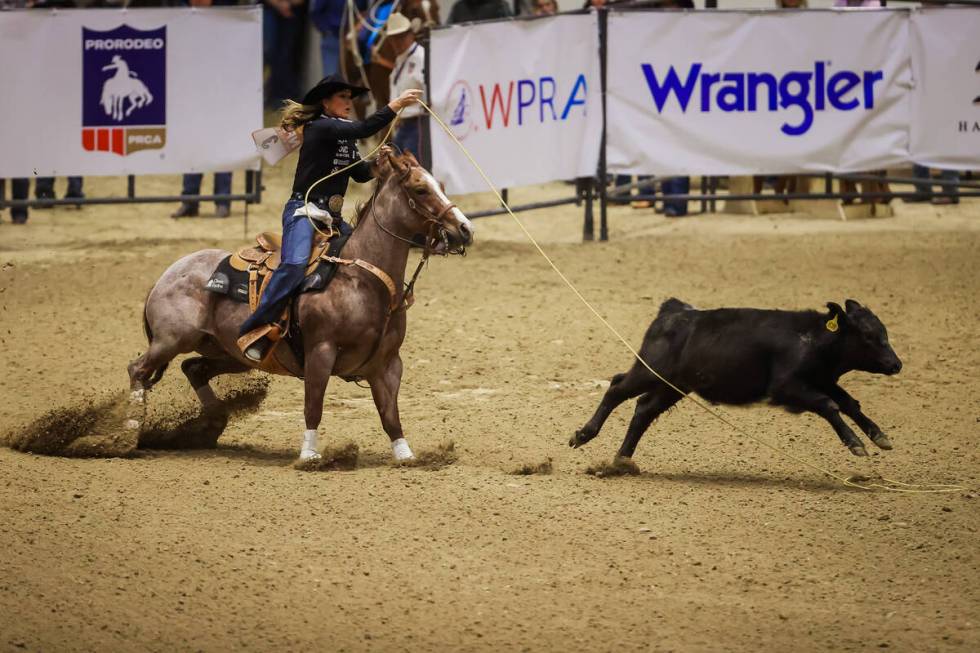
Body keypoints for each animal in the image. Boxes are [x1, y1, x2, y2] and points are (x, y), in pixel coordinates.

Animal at [122, 149, 474, 458]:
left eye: (441, 186)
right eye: (420, 188)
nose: (465, 229)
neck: (363, 279)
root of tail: (166, 275)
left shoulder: (388, 364)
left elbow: (390, 415)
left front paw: (407, 455)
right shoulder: (320, 352)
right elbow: (313, 406)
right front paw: (309, 456)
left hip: (228, 352)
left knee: (192, 368)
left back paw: (212, 422)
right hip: (172, 339)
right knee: (138, 369)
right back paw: (128, 432)